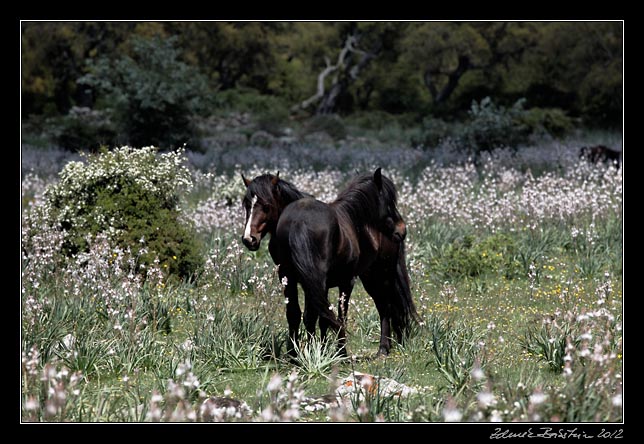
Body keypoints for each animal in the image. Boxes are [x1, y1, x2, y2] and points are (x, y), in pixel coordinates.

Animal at [239, 170, 420, 358]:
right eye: (247, 204)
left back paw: (384, 347)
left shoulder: (341, 281)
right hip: (371, 277)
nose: (249, 239)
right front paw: (315, 351)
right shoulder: (314, 281)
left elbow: (331, 317)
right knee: (384, 306)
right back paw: (383, 347)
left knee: (386, 306)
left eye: (266, 205)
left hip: (381, 275)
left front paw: (331, 351)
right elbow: (317, 317)